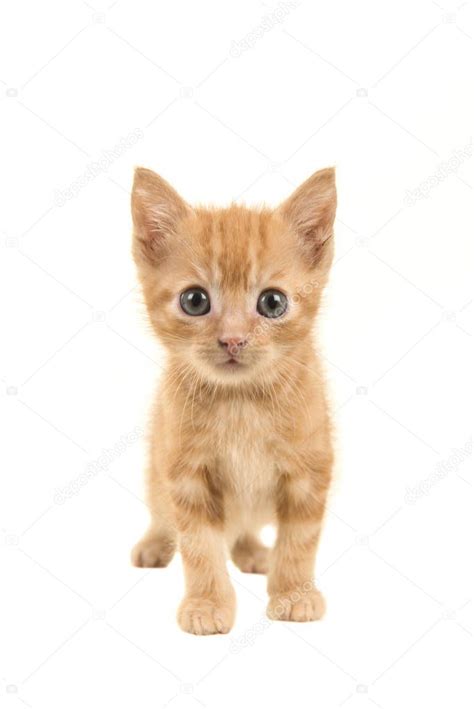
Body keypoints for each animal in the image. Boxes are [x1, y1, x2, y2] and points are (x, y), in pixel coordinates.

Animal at [131, 167, 336, 636]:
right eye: (195, 300)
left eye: (273, 302)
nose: (233, 339)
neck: (241, 402)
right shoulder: (184, 472)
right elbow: (200, 545)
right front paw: (207, 604)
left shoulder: (309, 467)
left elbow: (300, 539)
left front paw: (293, 593)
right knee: (160, 511)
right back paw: (154, 545)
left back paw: (253, 552)